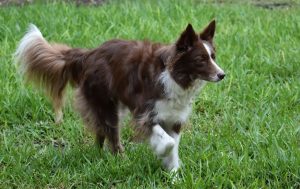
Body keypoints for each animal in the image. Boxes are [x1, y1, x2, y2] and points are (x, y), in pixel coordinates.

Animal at [15, 21, 224, 173]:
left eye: (213, 56)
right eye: (200, 60)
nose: (222, 75)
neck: (174, 76)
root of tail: (89, 54)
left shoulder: (174, 118)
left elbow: (174, 145)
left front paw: (173, 175)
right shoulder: (145, 114)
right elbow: (169, 143)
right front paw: (161, 151)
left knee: (101, 131)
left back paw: (100, 155)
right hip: (105, 102)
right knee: (111, 133)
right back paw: (119, 160)